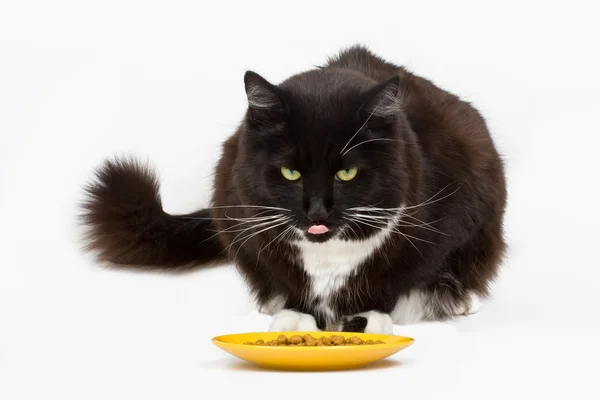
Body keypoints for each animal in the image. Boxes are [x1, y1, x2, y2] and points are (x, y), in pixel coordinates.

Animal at [79, 44, 506, 334]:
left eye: (346, 173)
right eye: (290, 173)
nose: (316, 210)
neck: (329, 258)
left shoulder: (442, 224)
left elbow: (395, 279)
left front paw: (369, 318)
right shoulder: (245, 220)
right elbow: (287, 281)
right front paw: (296, 316)